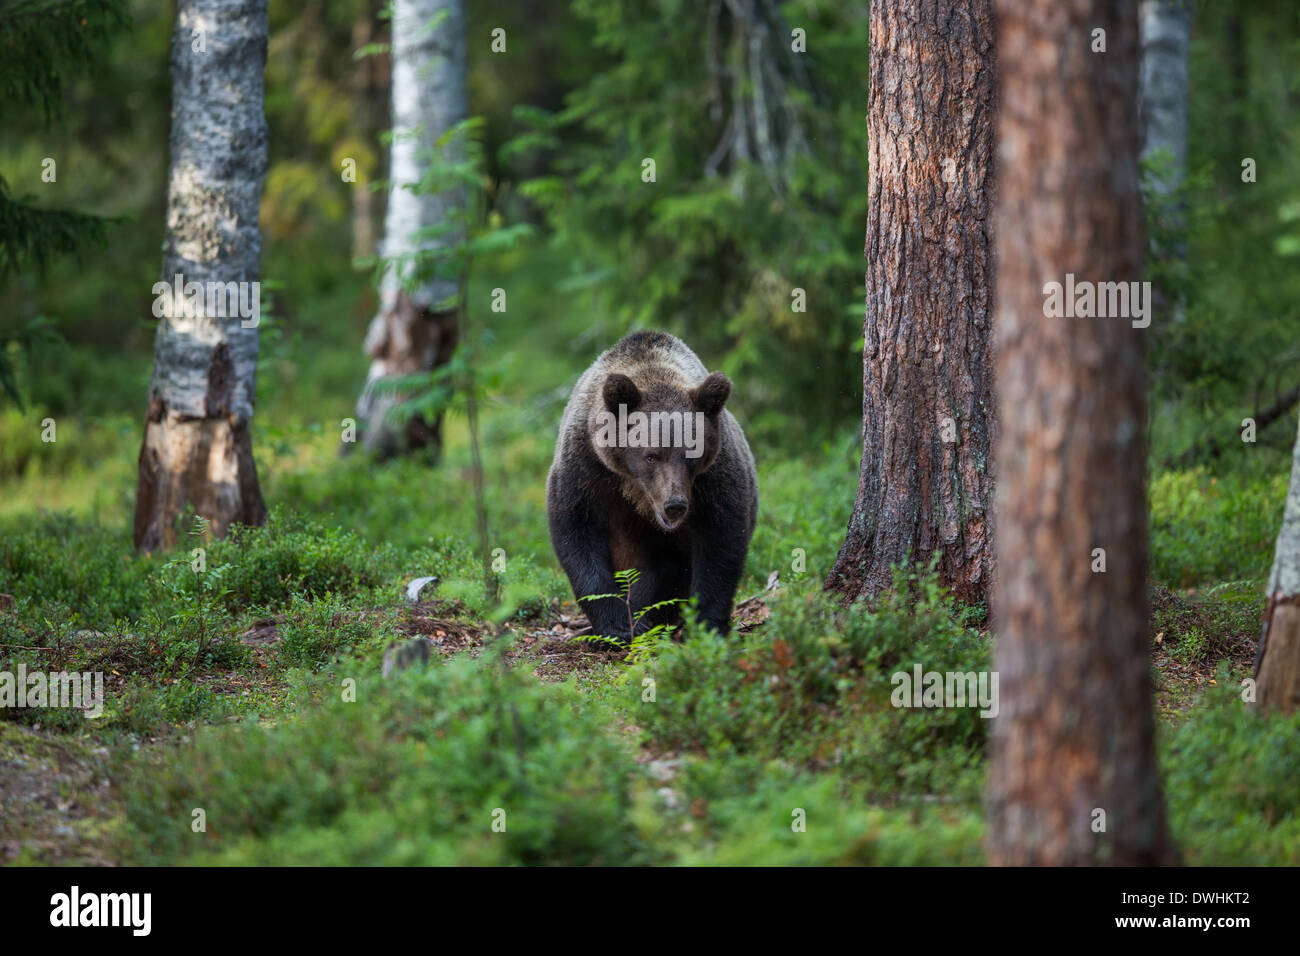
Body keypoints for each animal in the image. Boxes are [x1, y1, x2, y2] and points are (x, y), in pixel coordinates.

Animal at [546, 331, 758, 640]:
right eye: (651, 455)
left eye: (692, 455)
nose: (675, 505)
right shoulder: (586, 466)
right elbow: (576, 530)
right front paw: (616, 625)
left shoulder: (714, 478)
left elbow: (721, 539)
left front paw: (707, 623)